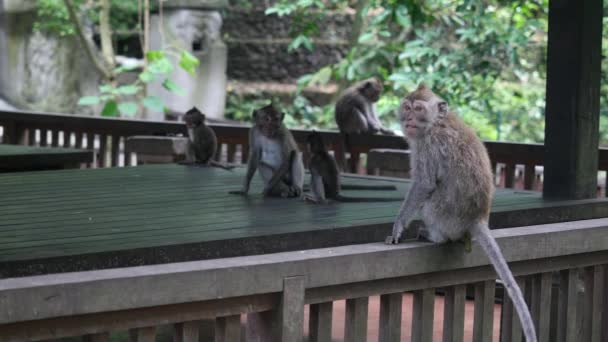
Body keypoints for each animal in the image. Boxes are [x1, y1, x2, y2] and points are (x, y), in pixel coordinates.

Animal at [388, 84, 536, 342]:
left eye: (418, 109)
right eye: (407, 107)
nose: (409, 119)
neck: (436, 123)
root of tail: (478, 218)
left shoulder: (427, 145)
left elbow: (425, 184)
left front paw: (398, 227)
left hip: (445, 215)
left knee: (431, 199)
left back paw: (434, 236)